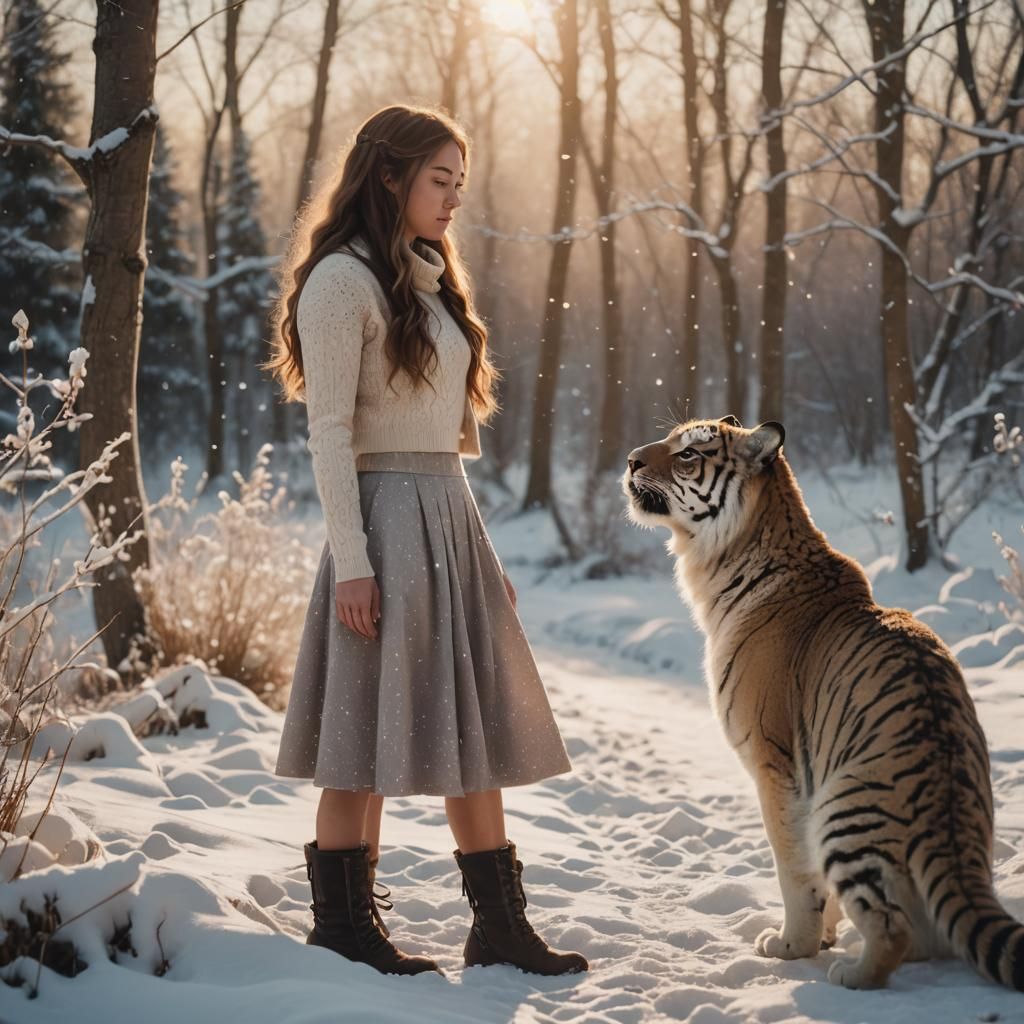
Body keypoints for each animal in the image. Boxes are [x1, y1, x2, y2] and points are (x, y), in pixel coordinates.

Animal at [621, 414, 1024, 991]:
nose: (631, 460)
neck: (728, 555)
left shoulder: (775, 764)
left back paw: (850, 975)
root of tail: (952, 816)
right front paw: (825, 933)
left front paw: (793, 946)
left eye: (689, 453)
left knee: (894, 928)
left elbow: (793, 866)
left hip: (844, 810)